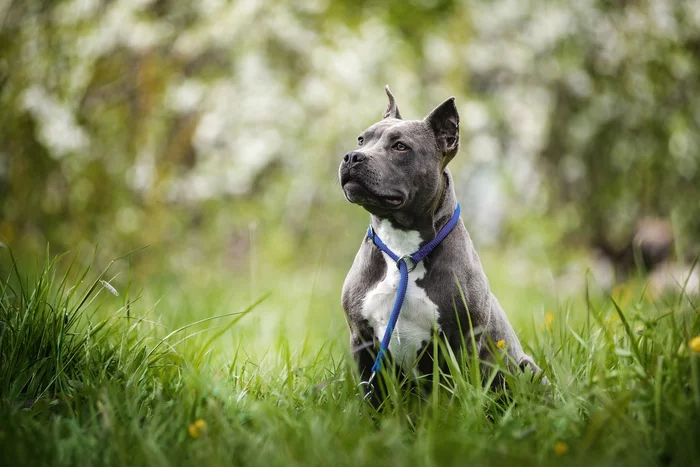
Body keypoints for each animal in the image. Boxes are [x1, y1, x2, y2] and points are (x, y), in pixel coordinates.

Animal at [342, 87, 544, 402]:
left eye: (400, 146)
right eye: (362, 139)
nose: (353, 156)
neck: (402, 250)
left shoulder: (460, 342)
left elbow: (451, 398)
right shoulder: (363, 341)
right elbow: (371, 398)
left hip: (527, 368)